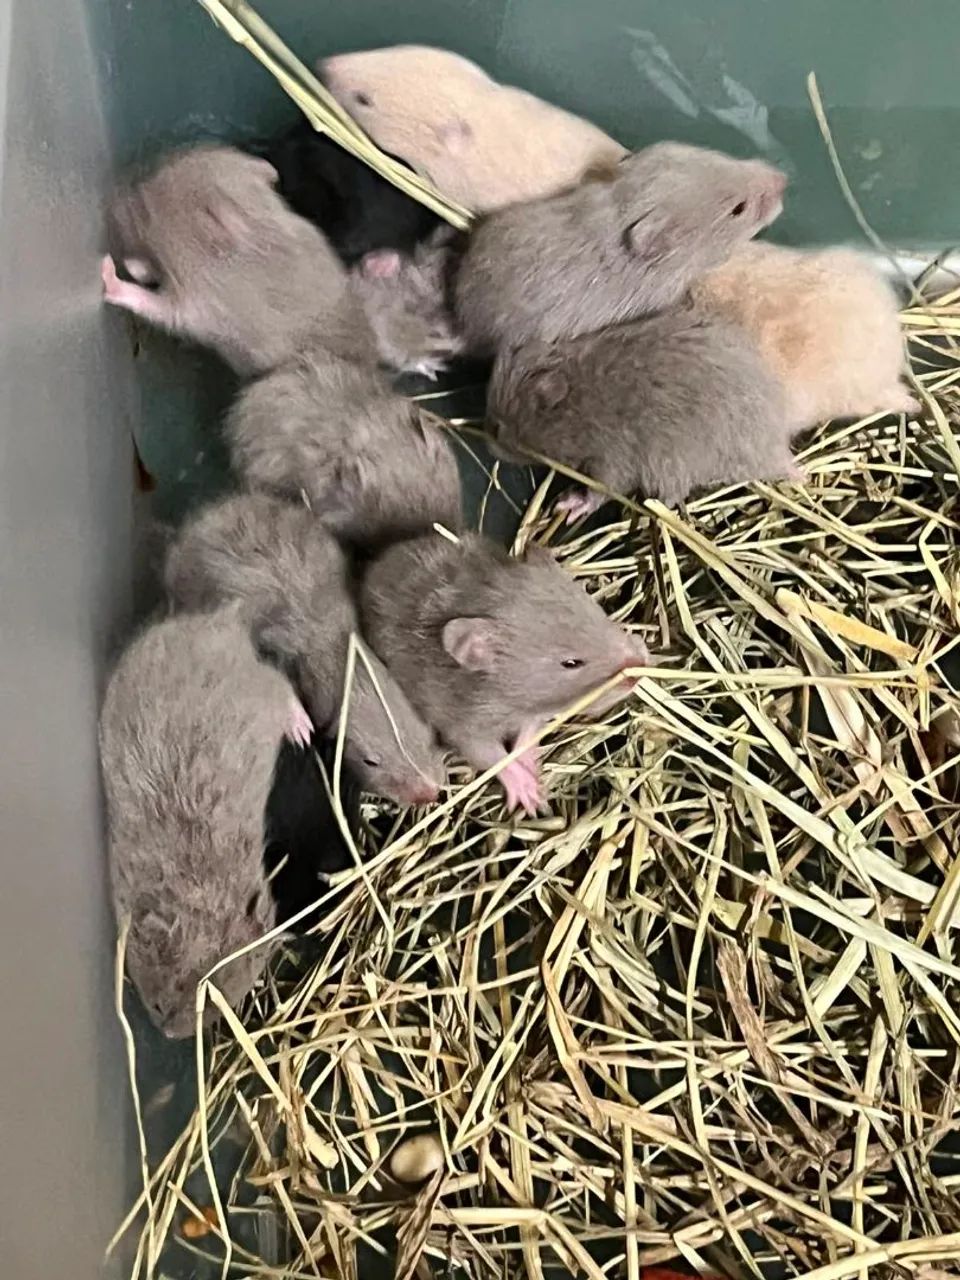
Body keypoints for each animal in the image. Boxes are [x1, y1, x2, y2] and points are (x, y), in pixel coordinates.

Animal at [99, 606, 313, 1039]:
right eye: (159, 1005)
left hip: (262, 694)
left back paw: (303, 730)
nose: (168, 1035)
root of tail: (223, 625)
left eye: (215, 1011)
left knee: (284, 689)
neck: (195, 895)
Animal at [102, 143, 376, 375]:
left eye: (146, 211)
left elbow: (155, 305)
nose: (114, 199)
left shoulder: (200, 304)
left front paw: (111, 273)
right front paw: (137, 265)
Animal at [361, 533, 648, 815]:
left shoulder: (532, 712)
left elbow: (528, 733)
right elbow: (489, 755)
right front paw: (528, 790)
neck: (509, 699)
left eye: (599, 615)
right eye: (571, 663)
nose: (638, 668)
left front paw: (529, 763)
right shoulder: (465, 723)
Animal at [488, 307, 798, 520]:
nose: (490, 446)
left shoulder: (610, 461)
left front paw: (567, 506)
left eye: (498, 427)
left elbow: (599, 491)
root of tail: (777, 448)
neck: (578, 405)